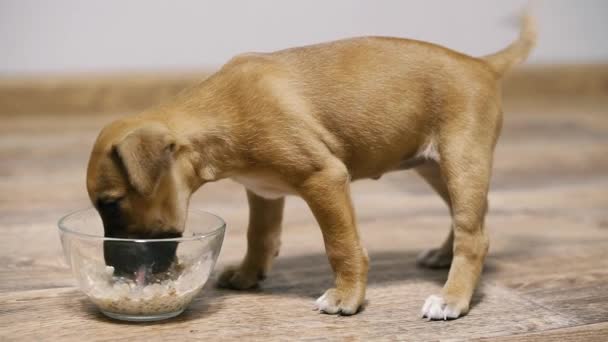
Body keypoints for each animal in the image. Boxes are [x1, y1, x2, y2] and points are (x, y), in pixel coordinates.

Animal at [86, 15, 536, 320]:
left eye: (110, 204)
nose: (114, 270)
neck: (220, 112)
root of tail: (482, 64)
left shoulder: (324, 180)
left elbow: (341, 245)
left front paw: (346, 297)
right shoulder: (263, 192)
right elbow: (260, 236)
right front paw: (249, 274)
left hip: (462, 162)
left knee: (474, 236)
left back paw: (452, 298)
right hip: (434, 168)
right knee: (470, 220)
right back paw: (443, 255)